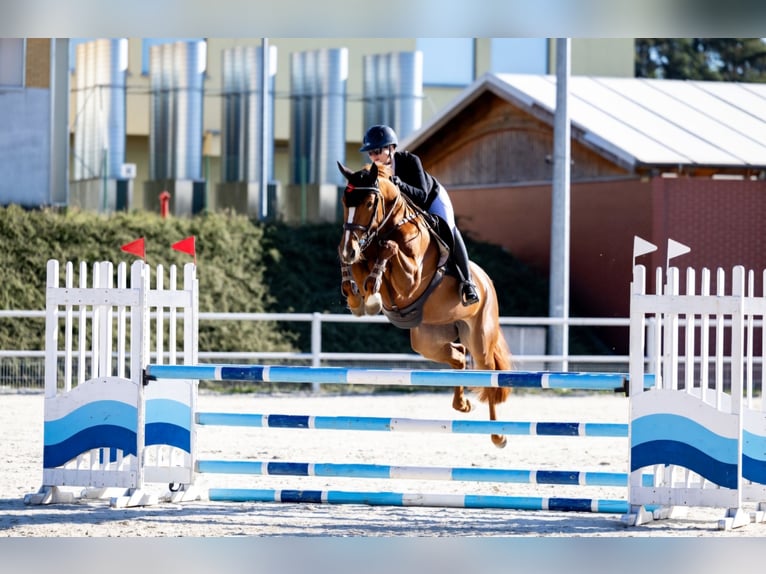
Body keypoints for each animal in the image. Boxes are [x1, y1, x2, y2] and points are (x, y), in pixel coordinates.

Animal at [338, 161, 512, 450]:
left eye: (370, 202)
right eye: (344, 201)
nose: (347, 249)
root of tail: (487, 281)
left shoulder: (410, 281)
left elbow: (389, 252)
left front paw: (372, 293)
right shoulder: (366, 258)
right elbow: (362, 270)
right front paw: (358, 297)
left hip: (479, 337)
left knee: (488, 375)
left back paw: (498, 435)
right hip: (428, 340)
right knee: (458, 358)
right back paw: (462, 405)